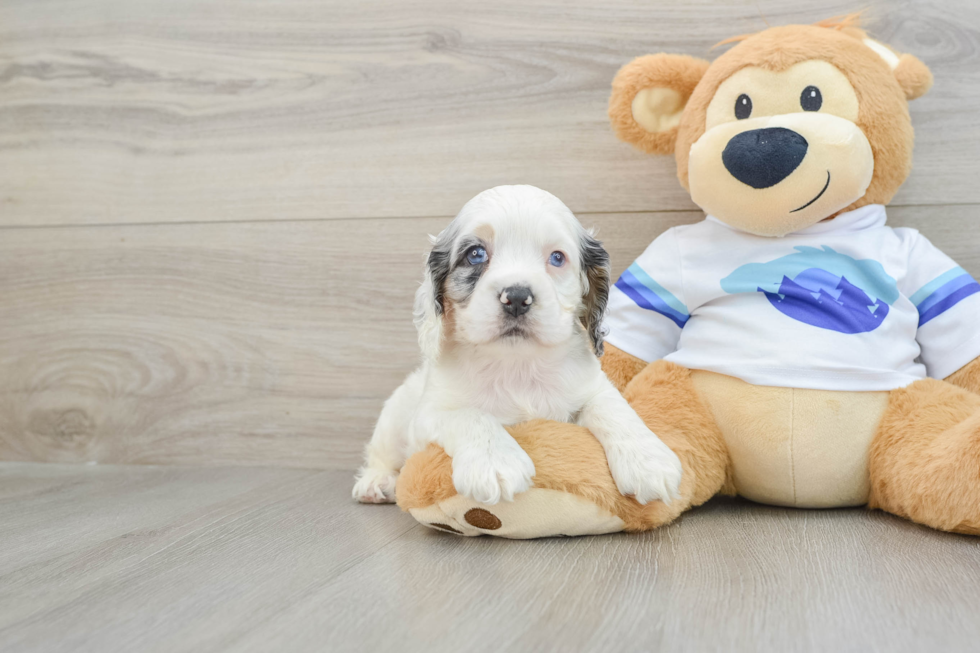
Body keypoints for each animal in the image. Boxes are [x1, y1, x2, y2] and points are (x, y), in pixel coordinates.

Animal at [352, 186, 680, 506]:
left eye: (557, 258)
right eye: (475, 254)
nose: (518, 298)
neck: (517, 363)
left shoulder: (591, 386)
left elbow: (613, 407)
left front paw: (649, 461)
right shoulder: (429, 415)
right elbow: (470, 416)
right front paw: (494, 462)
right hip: (393, 417)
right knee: (381, 455)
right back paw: (376, 482)